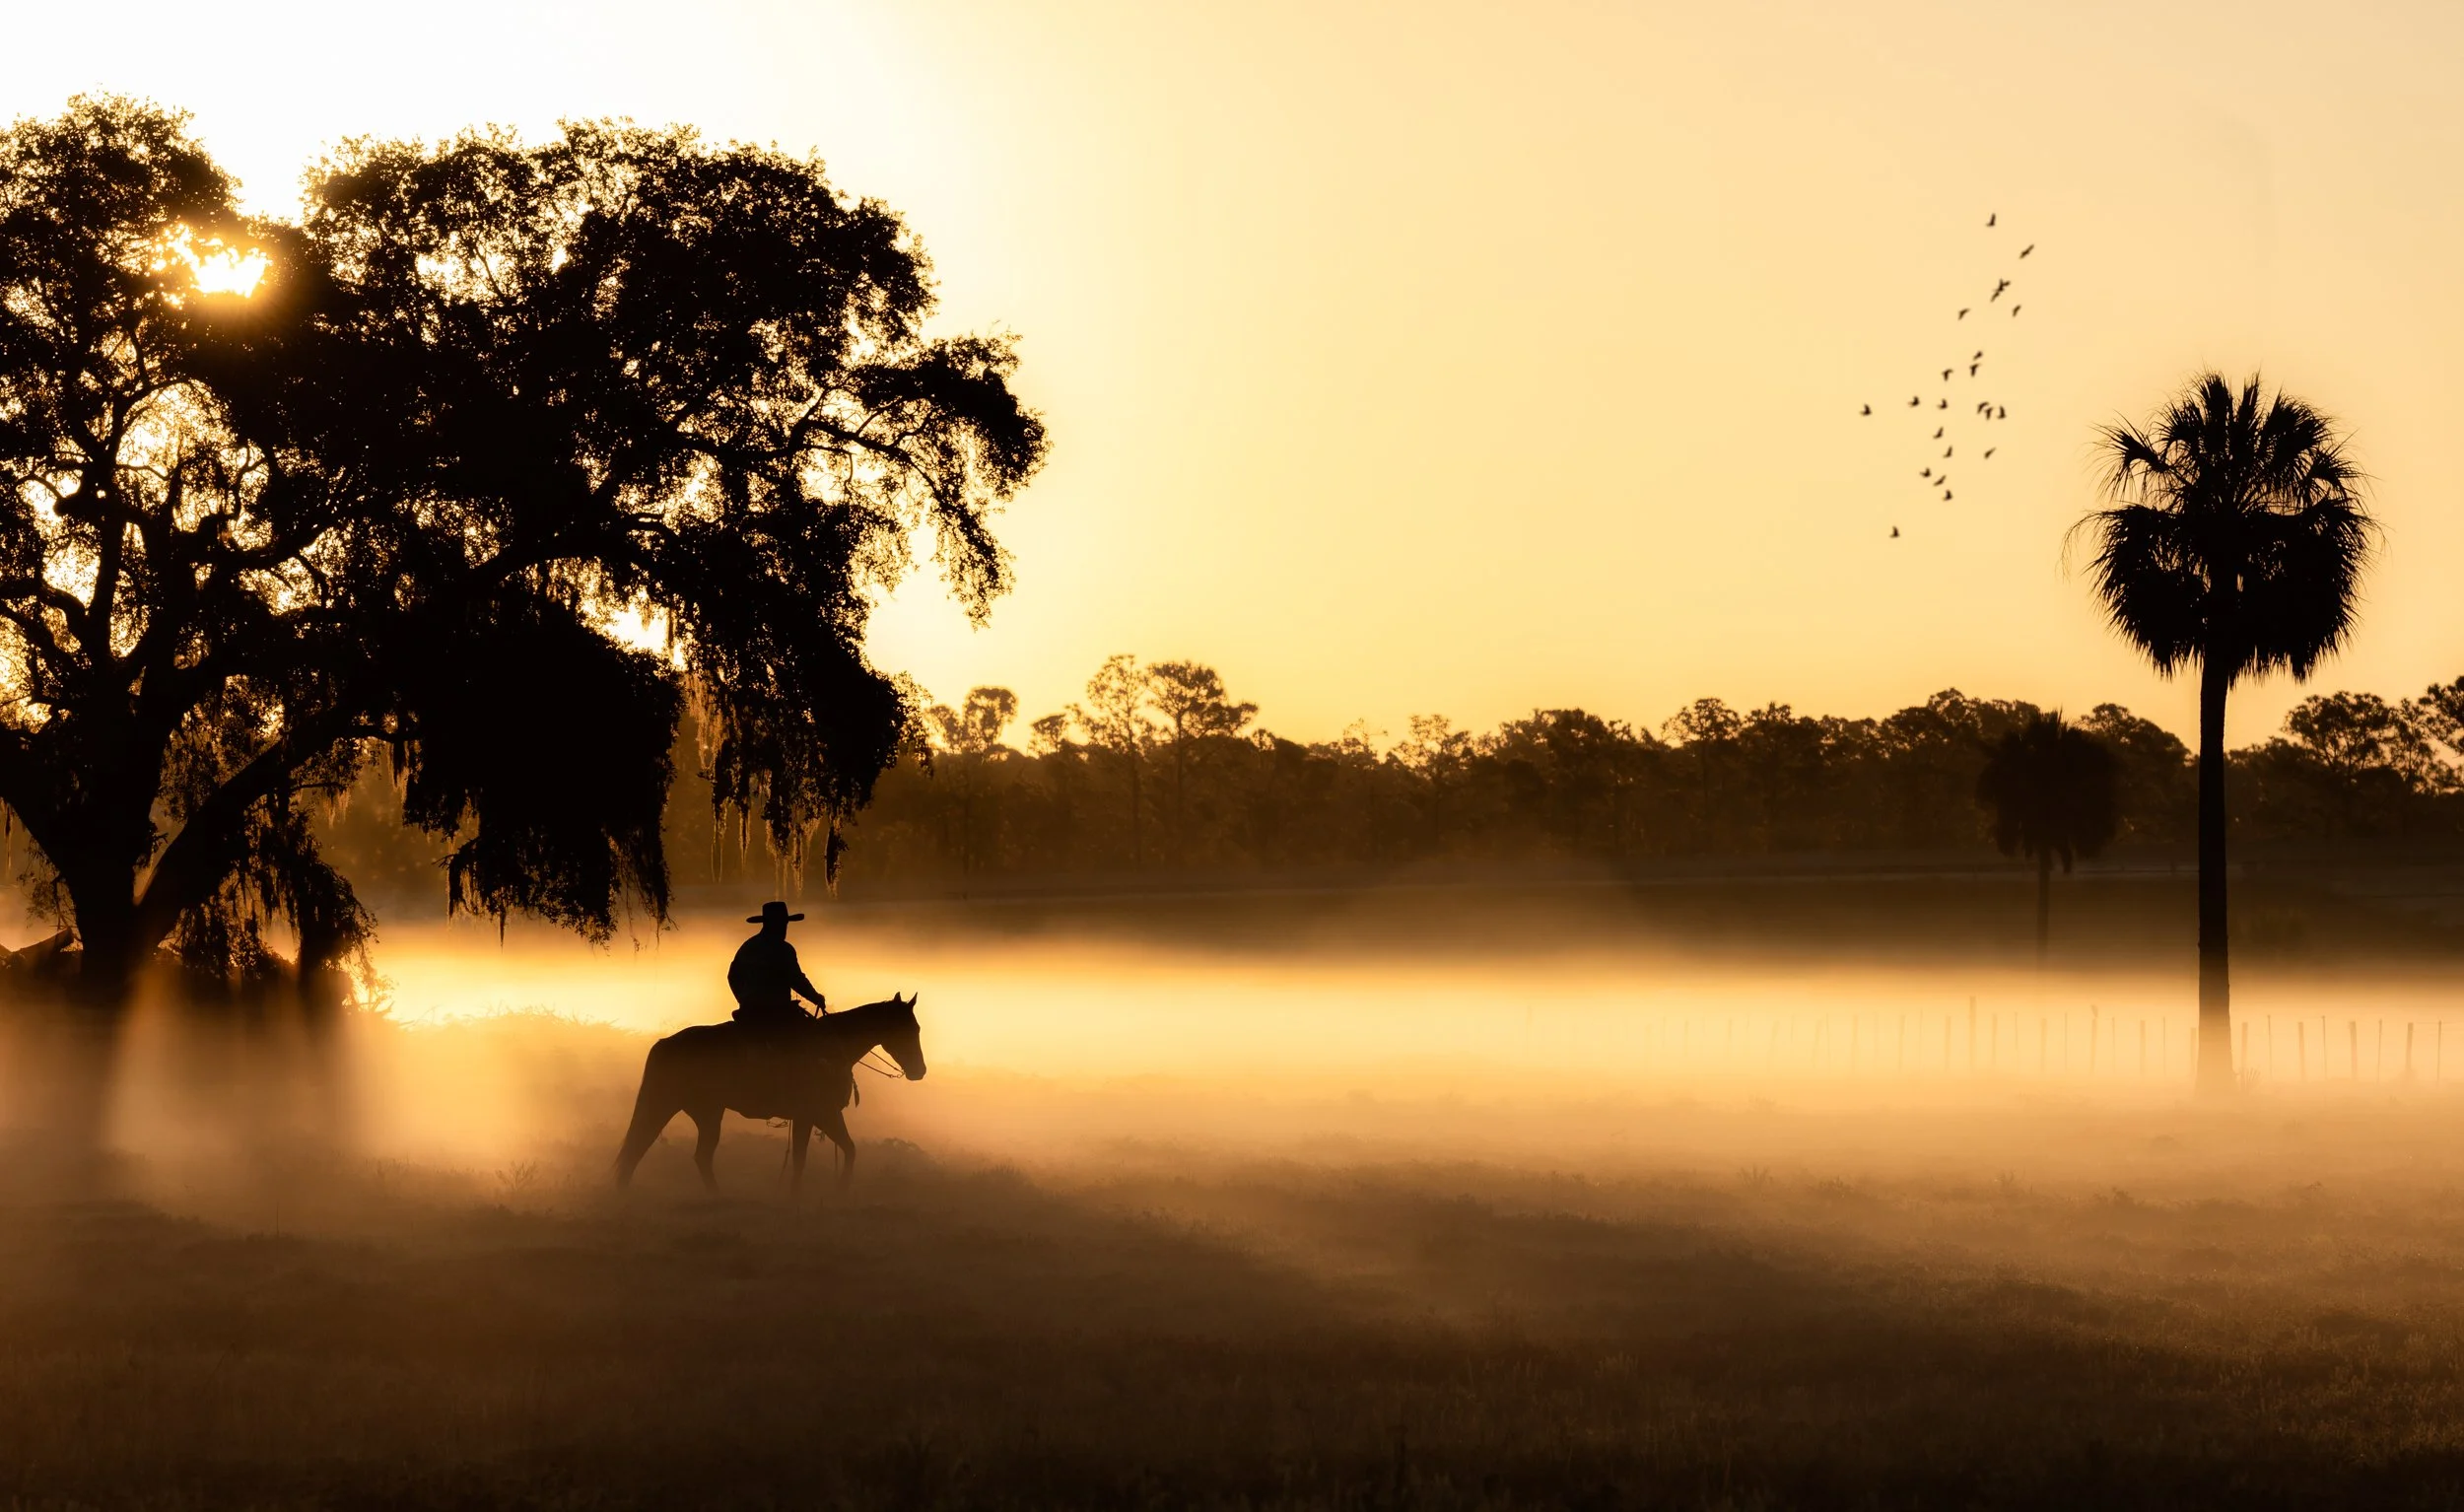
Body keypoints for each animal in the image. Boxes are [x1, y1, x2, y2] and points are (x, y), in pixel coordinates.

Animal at [613, 994, 926, 1193]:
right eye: (907, 1029)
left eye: (917, 1028)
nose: (919, 1071)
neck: (832, 1047)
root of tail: (665, 1043)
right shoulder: (810, 1114)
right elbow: (801, 1158)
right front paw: (796, 1196)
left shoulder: (825, 1114)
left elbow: (849, 1149)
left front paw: (840, 1191)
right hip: (683, 1107)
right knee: (652, 1148)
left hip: (693, 1109)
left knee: (662, 1149)